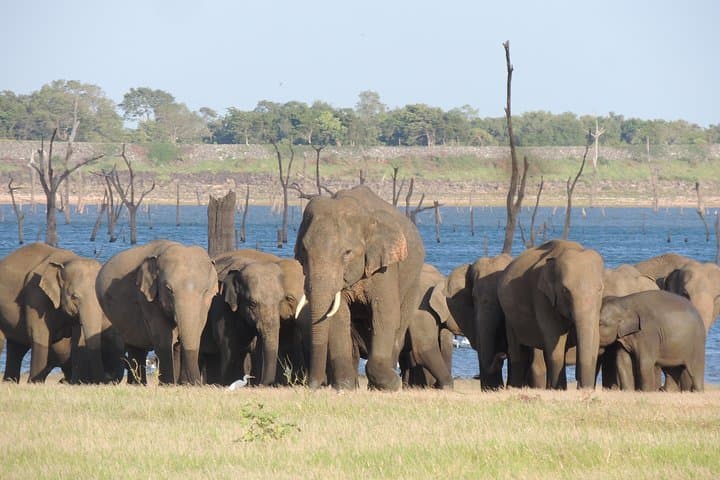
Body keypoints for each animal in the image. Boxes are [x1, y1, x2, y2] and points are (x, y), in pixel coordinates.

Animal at [0, 243, 124, 383]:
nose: (102, 380)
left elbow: (78, 339)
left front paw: (76, 383)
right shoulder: (35, 295)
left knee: (16, 348)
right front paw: (34, 383)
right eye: (74, 296)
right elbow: (39, 335)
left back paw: (10, 381)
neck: (65, 261)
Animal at [95, 240, 218, 385]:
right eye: (169, 290)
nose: (196, 384)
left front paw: (181, 385)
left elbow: (196, 332)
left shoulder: (206, 305)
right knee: (136, 346)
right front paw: (168, 385)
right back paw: (138, 384)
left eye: (205, 291)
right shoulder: (146, 297)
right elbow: (163, 338)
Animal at [201, 249, 305, 386]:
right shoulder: (221, 306)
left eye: (280, 301)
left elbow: (259, 347)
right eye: (252, 304)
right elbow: (229, 348)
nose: (264, 384)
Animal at [294, 185, 425, 391]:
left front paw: (392, 384)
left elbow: (385, 313)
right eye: (303, 251)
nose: (313, 385)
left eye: (347, 253)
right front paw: (344, 386)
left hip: (413, 285)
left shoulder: (384, 267)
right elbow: (339, 316)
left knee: (399, 329)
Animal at [498, 240, 604, 389]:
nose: (581, 386)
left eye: (600, 289)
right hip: (509, 317)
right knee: (518, 352)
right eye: (565, 291)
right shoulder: (541, 297)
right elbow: (554, 342)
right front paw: (559, 390)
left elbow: (594, 339)